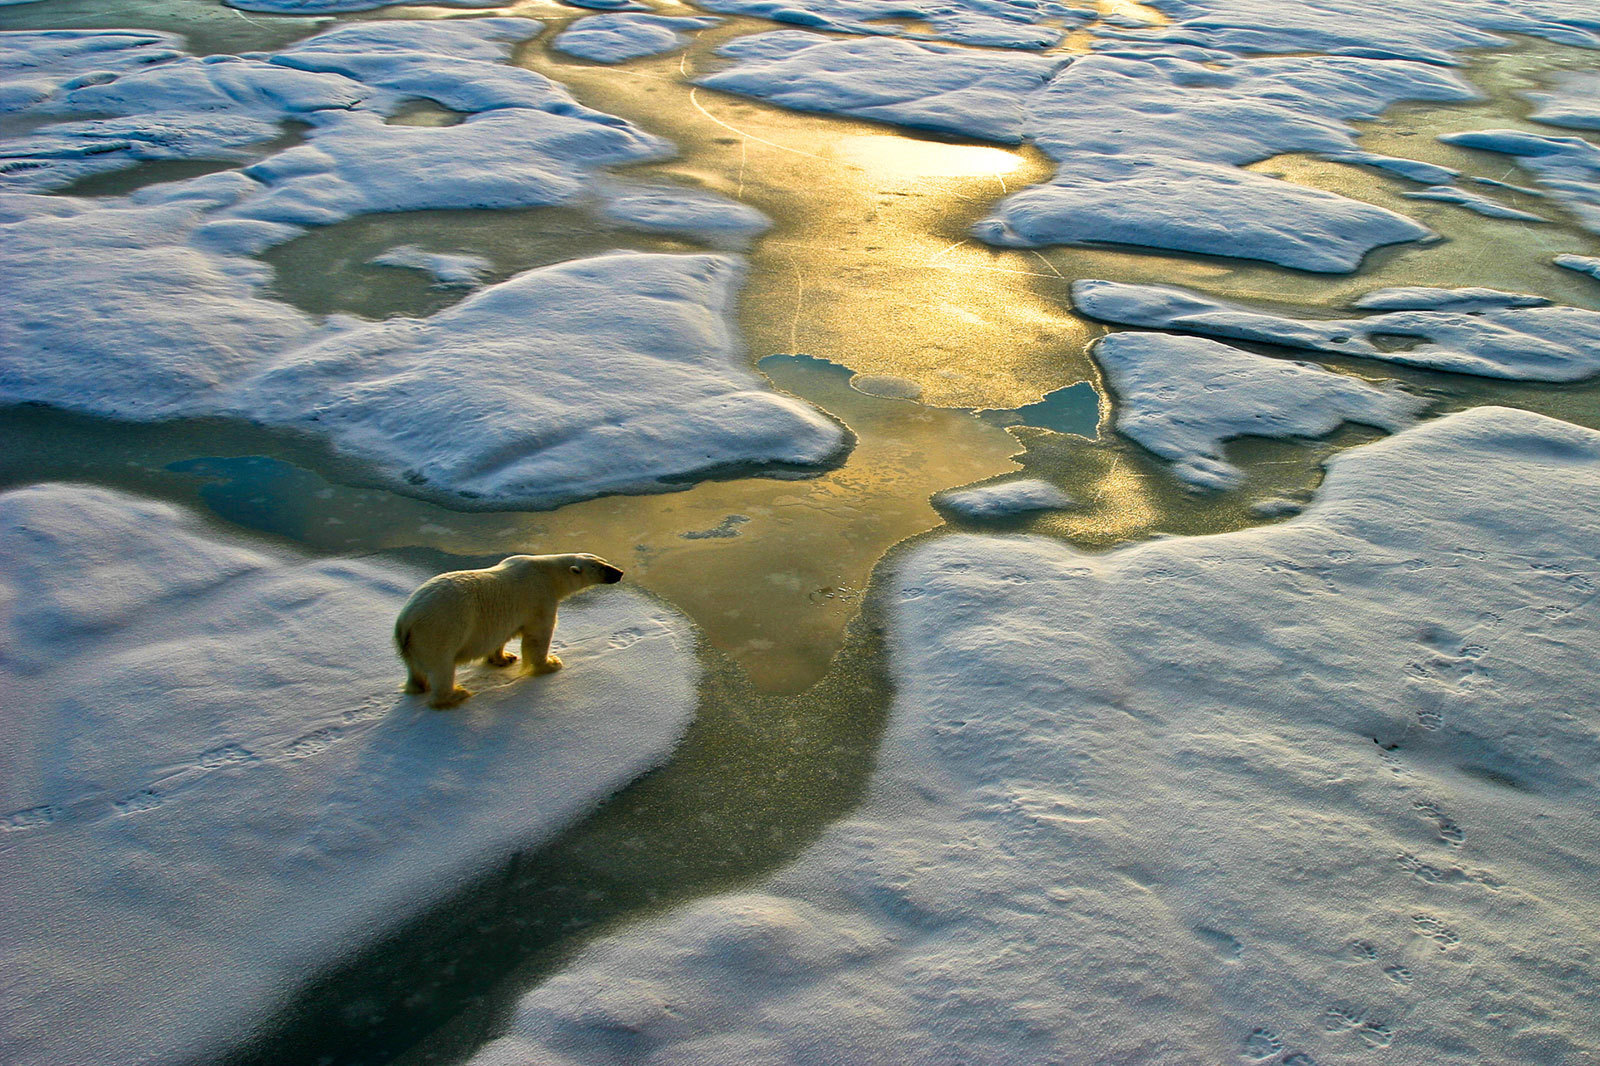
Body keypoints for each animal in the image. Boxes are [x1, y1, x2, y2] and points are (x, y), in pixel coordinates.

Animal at [393, 550, 624, 710]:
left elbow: (500, 637)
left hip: (412, 644)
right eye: (600, 567)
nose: (620, 572)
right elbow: (538, 636)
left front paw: (504, 658)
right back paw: (456, 695)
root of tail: (405, 621)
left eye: (604, 560)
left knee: (415, 670)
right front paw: (551, 663)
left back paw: (419, 687)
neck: (547, 573)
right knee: (442, 667)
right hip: (439, 630)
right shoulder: (539, 598)